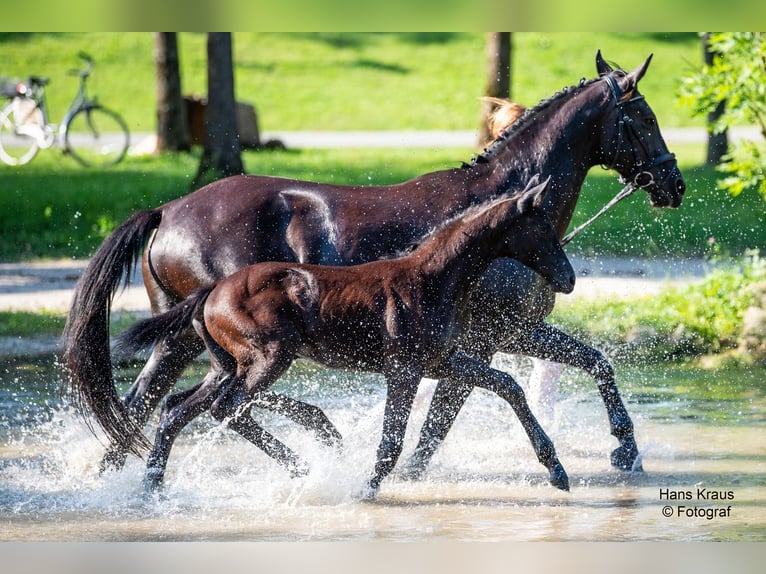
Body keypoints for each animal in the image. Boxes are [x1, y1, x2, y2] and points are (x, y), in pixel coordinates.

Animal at [66, 53, 688, 476]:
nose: (674, 183)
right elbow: (441, 419)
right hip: (233, 344)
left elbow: (594, 363)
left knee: (146, 406)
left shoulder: (510, 334)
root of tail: (167, 211)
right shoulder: (488, 338)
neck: (501, 212)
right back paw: (311, 442)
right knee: (213, 405)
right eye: (645, 117)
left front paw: (625, 448)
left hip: (183, 337)